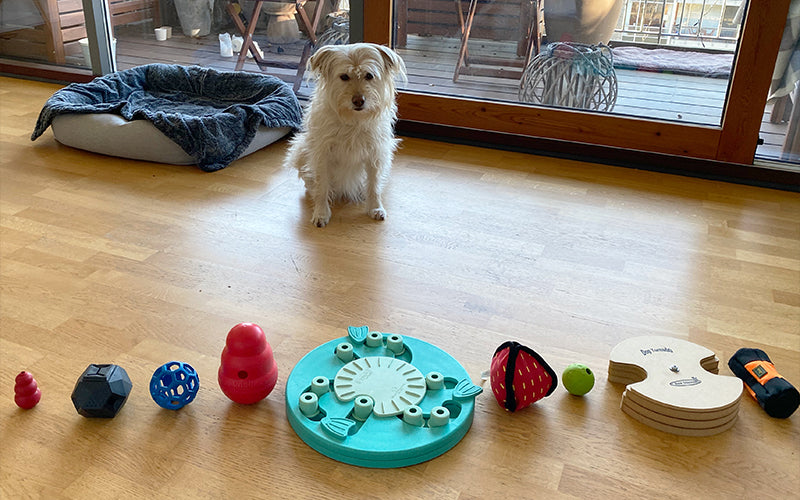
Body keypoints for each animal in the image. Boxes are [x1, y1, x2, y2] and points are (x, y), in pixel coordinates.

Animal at [284, 43, 406, 227]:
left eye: (369, 76)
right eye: (344, 76)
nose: (358, 101)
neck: (353, 120)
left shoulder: (375, 154)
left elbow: (374, 185)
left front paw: (375, 207)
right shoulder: (322, 155)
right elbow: (322, 186)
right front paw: (321, 212)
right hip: (300, 149)